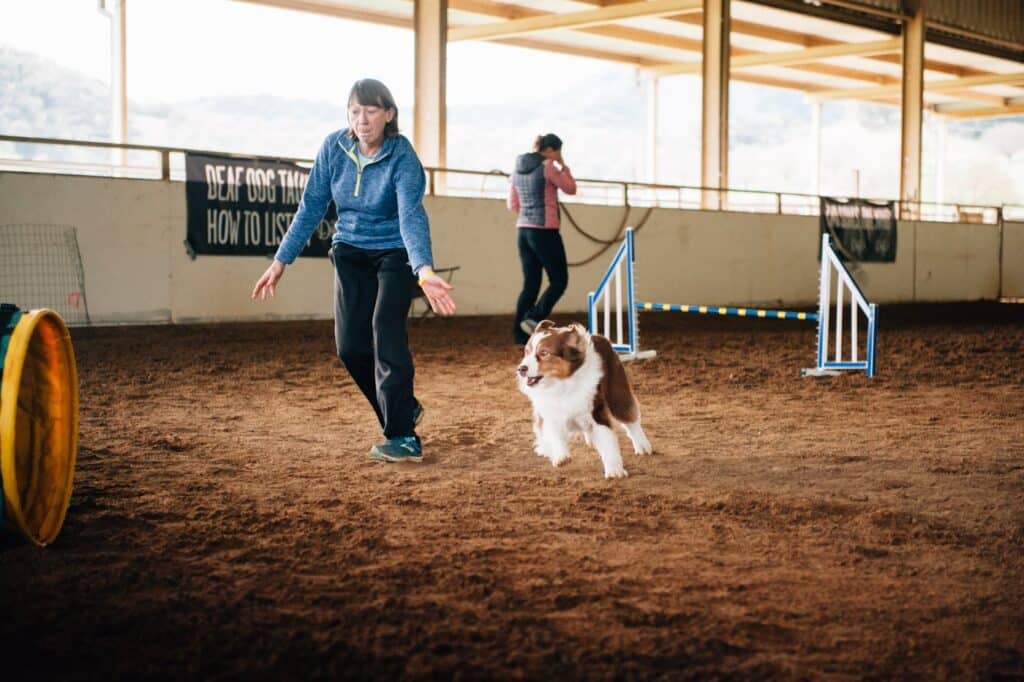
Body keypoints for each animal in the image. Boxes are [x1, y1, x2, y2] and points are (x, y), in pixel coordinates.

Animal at [516, 319, 651, 475]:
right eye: (527, 352)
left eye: (544, 353)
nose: (521, 368)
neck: (562, 385)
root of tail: (599, 336)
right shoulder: (550, 412)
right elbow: (554, 434)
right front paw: (561, 457)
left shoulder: (596, 411)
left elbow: (607, 439)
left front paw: (614, 469)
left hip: (617, 394)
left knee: (630, 419)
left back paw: (642, 445)